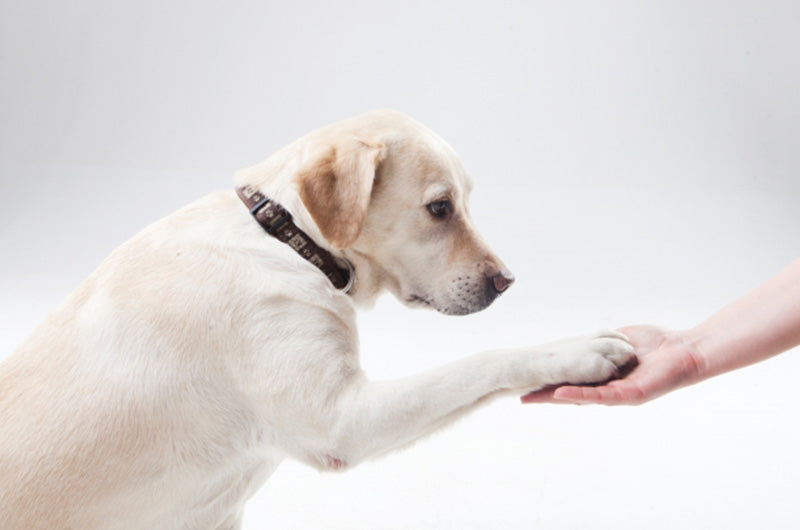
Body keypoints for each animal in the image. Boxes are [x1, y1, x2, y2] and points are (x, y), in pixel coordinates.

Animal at [1, 109, 636, 524]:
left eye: (466, 202)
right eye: (439, 208)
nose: (506, 282)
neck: (286, 237)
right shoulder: (342, 422)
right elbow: (479, 362)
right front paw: (577, 351)